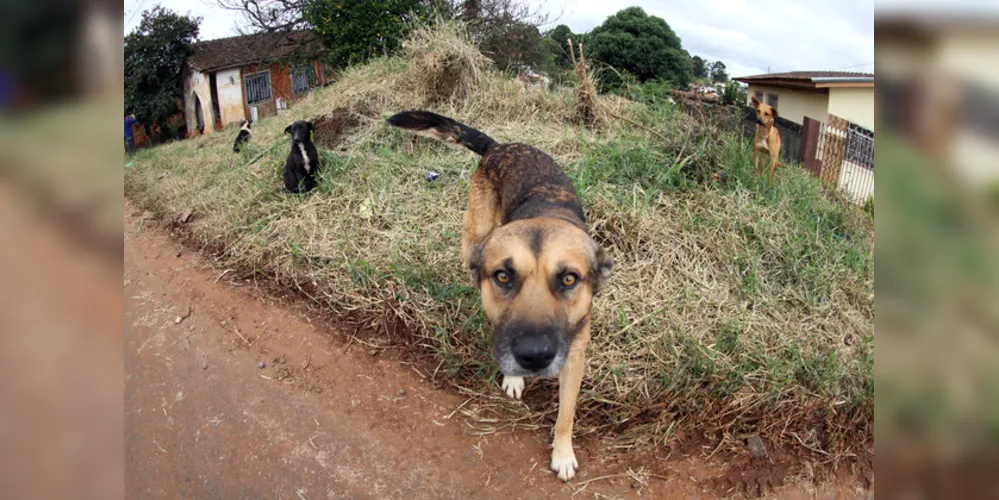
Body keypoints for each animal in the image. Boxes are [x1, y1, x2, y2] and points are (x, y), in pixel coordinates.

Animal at [386, 110, 612, 480]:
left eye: (569, 279)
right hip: (477, 226)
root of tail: (498, 146)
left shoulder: (574, 357)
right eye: (503, 276)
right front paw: (514, 377)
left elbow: (566, 414)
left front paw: (563, 453)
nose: (534, 356)